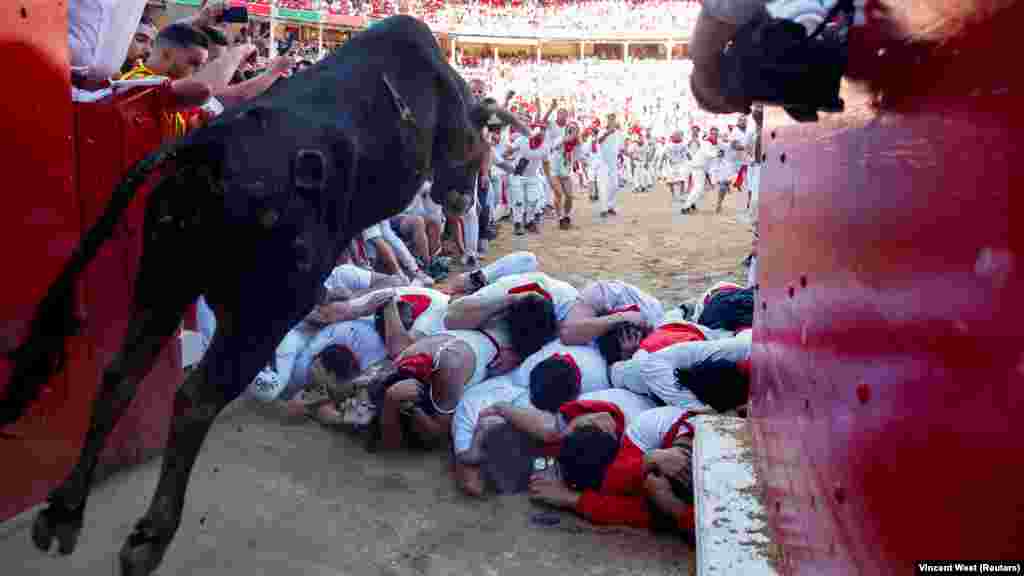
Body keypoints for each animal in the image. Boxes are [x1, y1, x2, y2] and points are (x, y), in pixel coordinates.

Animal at [0, 15, 520, 569]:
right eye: (480, 145)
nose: (461, 195)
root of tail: (205, 148)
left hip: (163, 280)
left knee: (120, 374)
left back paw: (64, 511)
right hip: (266, 308)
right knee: (195, 397)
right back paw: (149, 537)